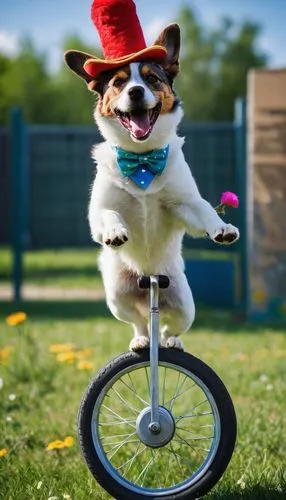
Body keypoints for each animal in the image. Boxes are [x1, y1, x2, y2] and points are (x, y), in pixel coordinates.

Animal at [65, 24, 239, 352]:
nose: (135, 91)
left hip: (183, 302)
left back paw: (172, 342)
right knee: (140, 322)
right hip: (117, 294)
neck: (142, 159)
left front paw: (222, 228)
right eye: (118, 83)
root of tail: (150, 285)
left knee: (170, 327)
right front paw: (115, 232)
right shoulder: (98, 212)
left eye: (152, 78)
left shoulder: (184, 204)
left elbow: (205, 211)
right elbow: (108, 215)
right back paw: (141, 340)